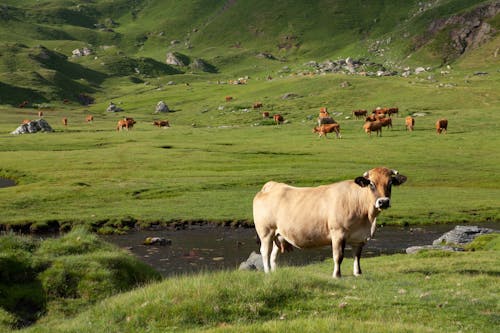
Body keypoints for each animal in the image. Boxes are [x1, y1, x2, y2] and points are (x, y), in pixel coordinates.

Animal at [254, 166, 406, 278]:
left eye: (390, 183)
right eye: (371, 184)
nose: (383, 202)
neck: (367, 219)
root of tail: (271, 185)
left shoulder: (359, 237)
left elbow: (357, 256)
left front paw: (358, 273)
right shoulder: (338, 233)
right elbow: (338, 256)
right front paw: (337, 275)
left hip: (279, 234)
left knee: (273, 255)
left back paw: (274, 272)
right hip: (266, 232)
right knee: (265, 252)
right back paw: (267, 273)